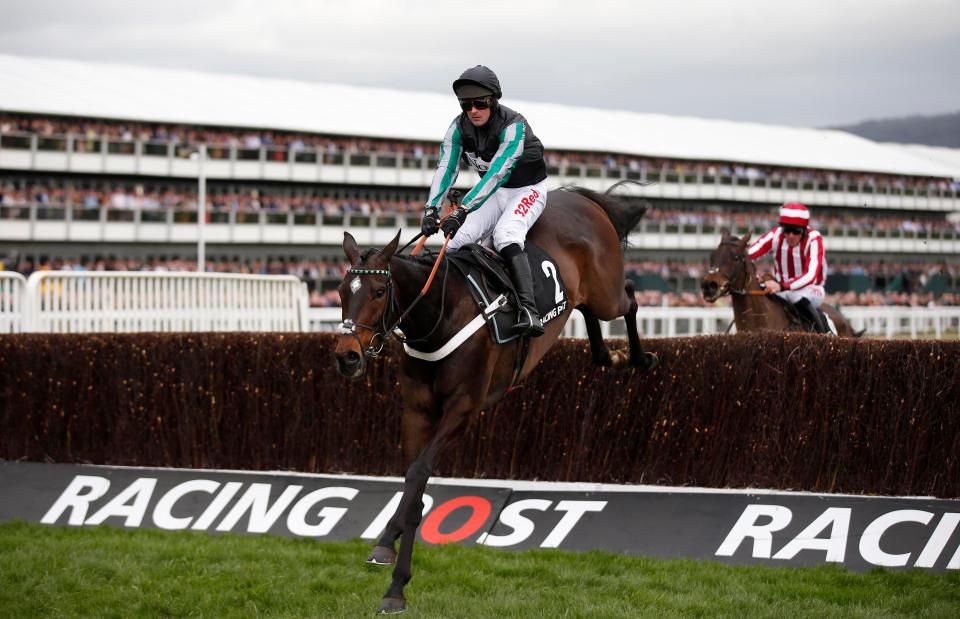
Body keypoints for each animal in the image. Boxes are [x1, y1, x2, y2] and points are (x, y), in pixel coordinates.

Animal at [334, 182, 656, 612]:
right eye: (340, 291)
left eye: (379, 290)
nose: (347, 356)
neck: (440, 314)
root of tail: (580, 198)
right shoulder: (417, 410)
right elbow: (413, 487)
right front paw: (392, 571)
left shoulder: (463, 409)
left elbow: (419, 473)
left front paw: (390, 555)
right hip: (584, 294)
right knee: (588, 310)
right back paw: (609, 356)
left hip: (607, 291)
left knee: (631, 298)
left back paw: (638, 356)